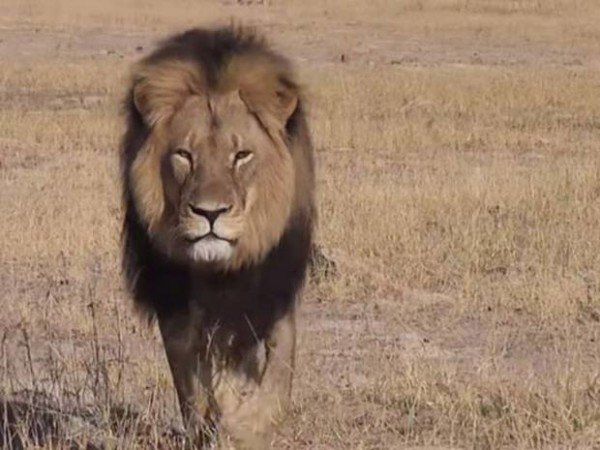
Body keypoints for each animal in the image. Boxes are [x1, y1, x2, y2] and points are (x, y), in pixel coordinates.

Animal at [120, 26, 315, 449]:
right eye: (183, 155)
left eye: (241, 156)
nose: (210, 213)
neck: (221, 271)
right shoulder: (175, 299)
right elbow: (192, 382)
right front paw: (216, 419)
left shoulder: (271, 289)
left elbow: (278, 373)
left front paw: (248, 424)